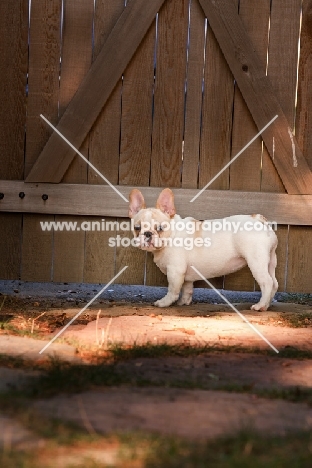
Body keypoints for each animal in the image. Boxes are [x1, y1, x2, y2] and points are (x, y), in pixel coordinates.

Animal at [128, 186, 280, 310]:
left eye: (159, 228)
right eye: (137, 228)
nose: (148, 234)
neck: (172, 235)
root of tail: (258, 219)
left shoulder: (175, 271)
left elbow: (173, 290)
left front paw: (165, 302)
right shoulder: (185, 275)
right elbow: (187, 288)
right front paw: (184, 302)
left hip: (256, 262)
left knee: (267, 282)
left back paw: (260, 306)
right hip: (270, 261)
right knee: (274, 283)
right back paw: (267, 305)